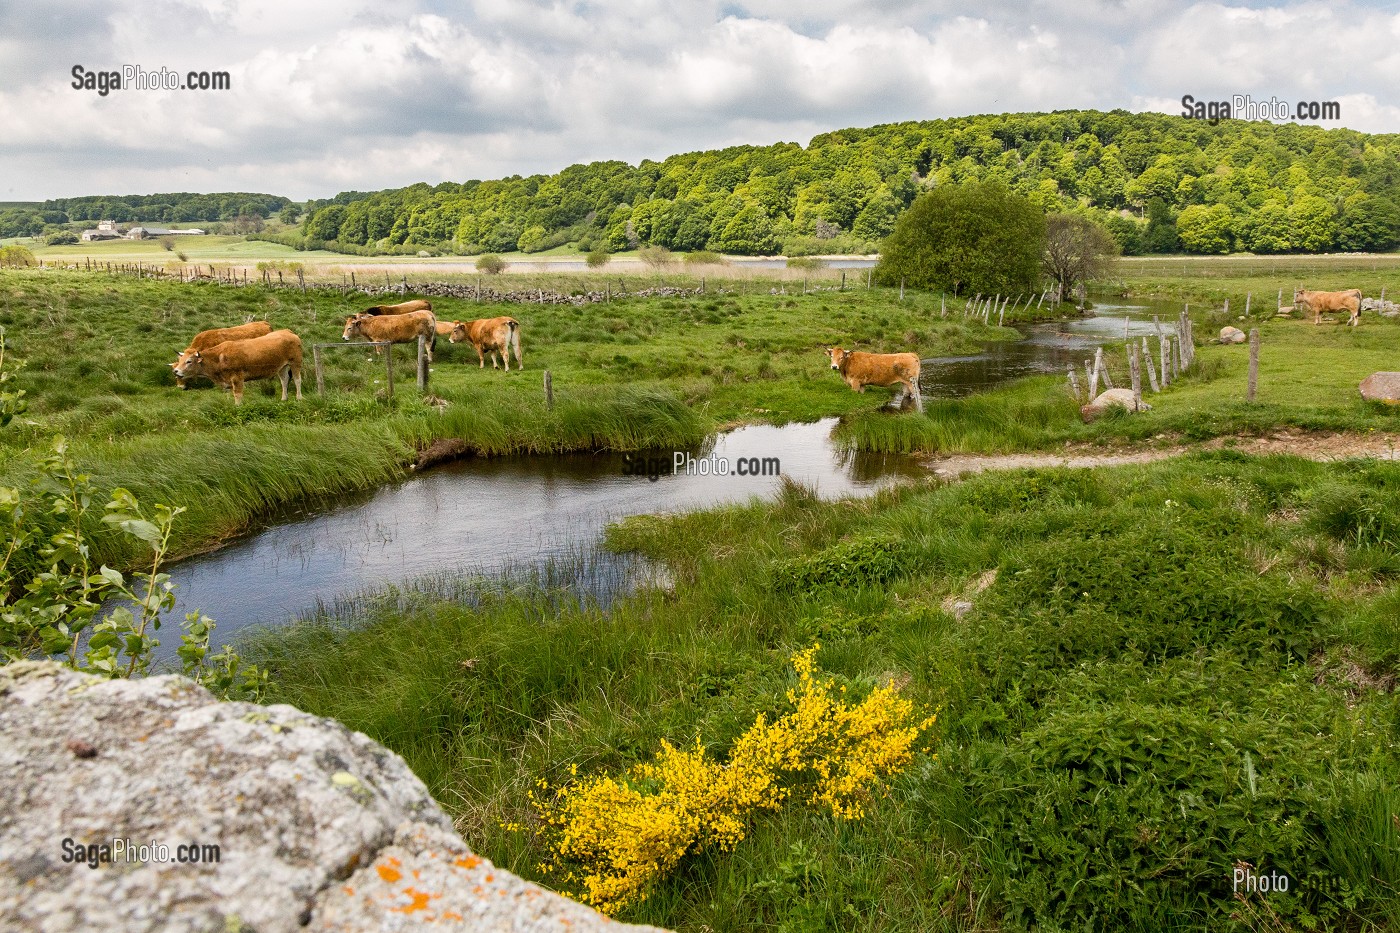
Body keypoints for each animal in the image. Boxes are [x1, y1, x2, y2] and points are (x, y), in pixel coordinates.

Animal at [172, 329, 303, 405]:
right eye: (180, 360)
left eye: (189, 361)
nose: (176, 371)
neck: (219, 357)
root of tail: (288, 332)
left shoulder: (237, 378)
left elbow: (237, 394)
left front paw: (238, 407)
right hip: (282, 367)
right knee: (284, 380)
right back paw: (284, 399)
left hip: (295, 362)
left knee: (297, 380)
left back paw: (299, 398)